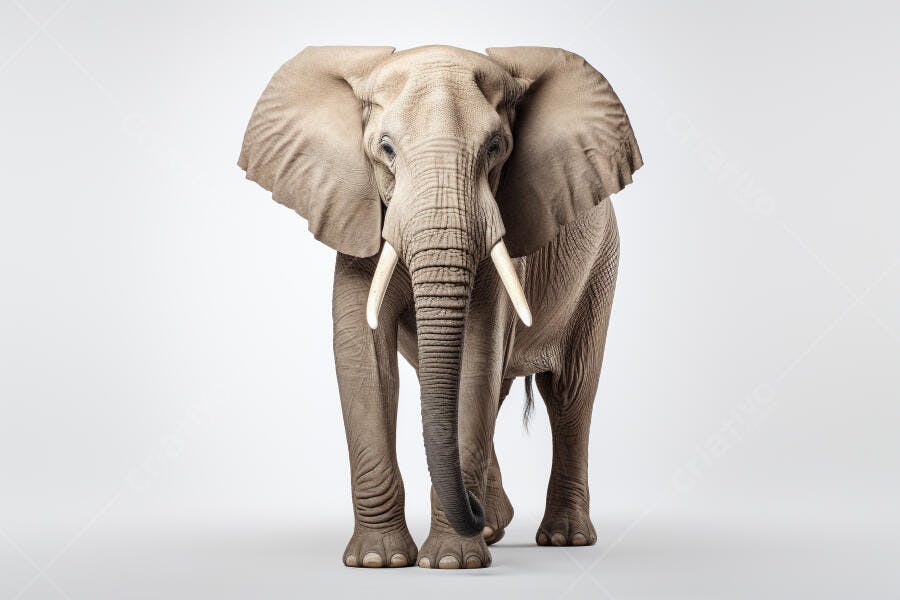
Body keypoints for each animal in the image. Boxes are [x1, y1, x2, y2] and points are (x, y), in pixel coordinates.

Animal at [238, 45, 642, 569]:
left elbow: (475, 361)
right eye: (386, 149)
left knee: (569, 391)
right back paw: (493, 526)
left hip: (602, 263)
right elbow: (365, 363)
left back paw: (561, 538)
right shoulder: (357, 219)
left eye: (496, 147)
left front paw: (451, 562)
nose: (470, 509)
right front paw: (379, 561)